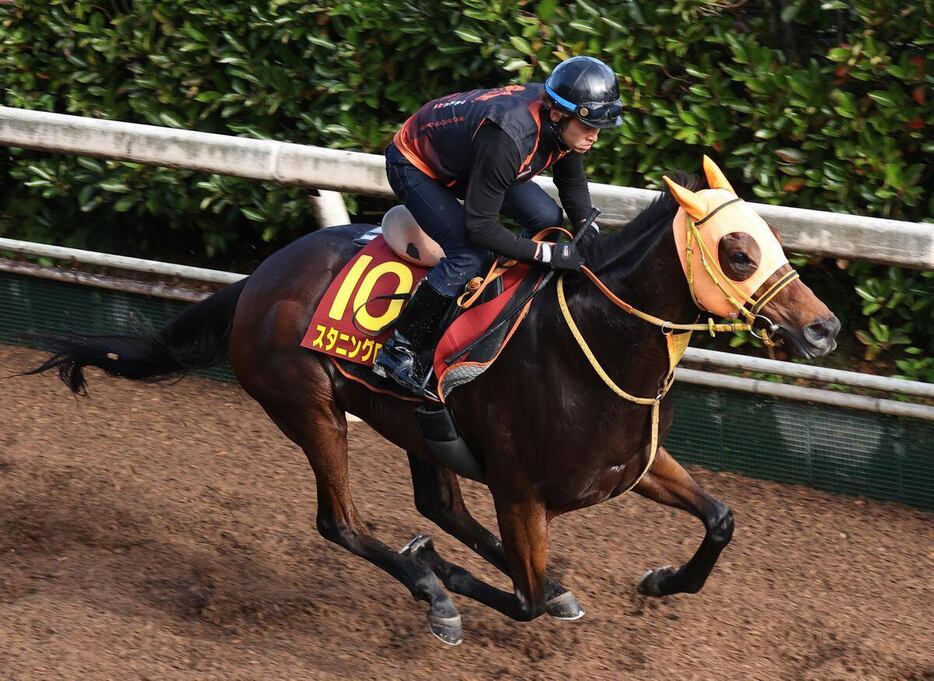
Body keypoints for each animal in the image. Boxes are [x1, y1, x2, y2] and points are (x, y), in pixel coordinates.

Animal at [23, 158, 840, 644]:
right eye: (738, 251)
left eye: (773, 236)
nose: (824, 327)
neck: (592, 342)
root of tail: (258, 278)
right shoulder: (520, 490)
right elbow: (524, 596)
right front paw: (445, 579)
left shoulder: (631, 464)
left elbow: (720, 518)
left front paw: (663, 579)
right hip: (311, 410)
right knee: (342, 522)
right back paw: (431, 586)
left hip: (418, 424)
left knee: (441, 505)